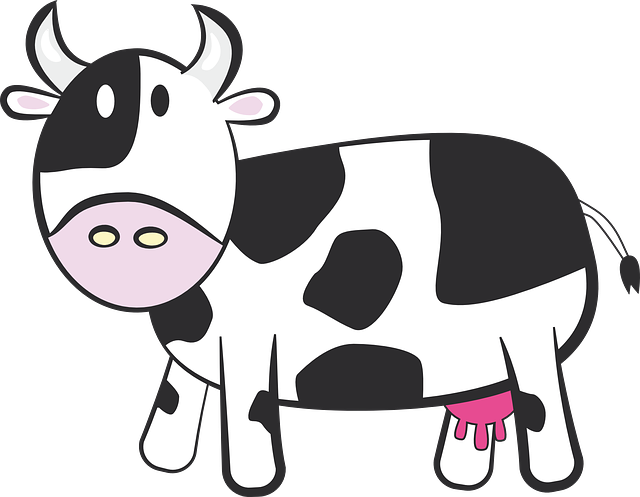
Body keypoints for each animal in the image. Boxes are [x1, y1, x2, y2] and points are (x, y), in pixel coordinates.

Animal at [3, 2, 638, 495]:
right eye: (69, 130)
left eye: (197, 141)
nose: (125, 218)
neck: (194, 300)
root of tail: (565, 191)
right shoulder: (191, 346)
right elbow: (174, 402)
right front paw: (163, 463)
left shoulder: (252, 339)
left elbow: (248, 409)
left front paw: (252, 482)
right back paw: (460, 475)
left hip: (533, 330)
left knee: (541, 404)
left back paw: (552, 478)